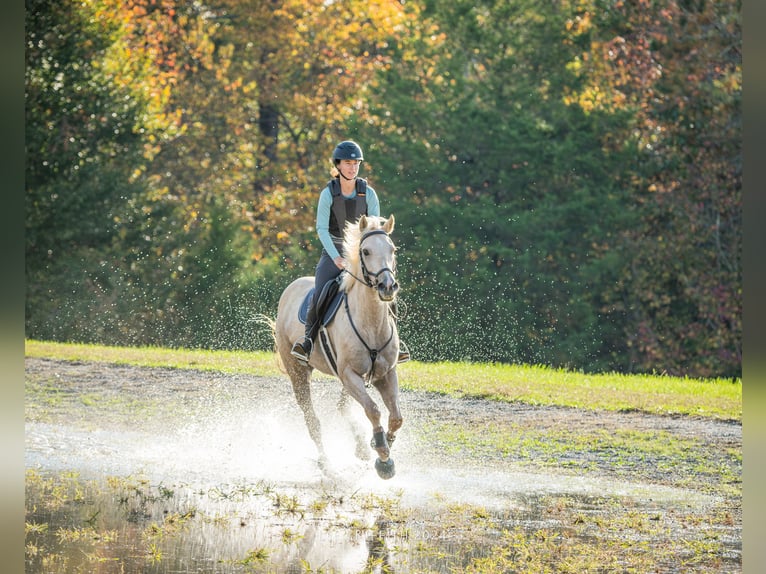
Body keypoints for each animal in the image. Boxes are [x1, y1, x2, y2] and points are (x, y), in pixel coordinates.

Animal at [274, 214, 403, 479]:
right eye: (365, 251)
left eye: (393, 250)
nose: (387, 287)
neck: (370, 321)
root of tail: (291, 287)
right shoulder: (349, 374)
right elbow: (373, 410)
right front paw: (382, 453)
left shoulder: (385, 373)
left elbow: (396, 417)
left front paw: (382, 451)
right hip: (298, 372)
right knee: (312, 420)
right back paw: (327, 464)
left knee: (343, 407)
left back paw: (360, 447)